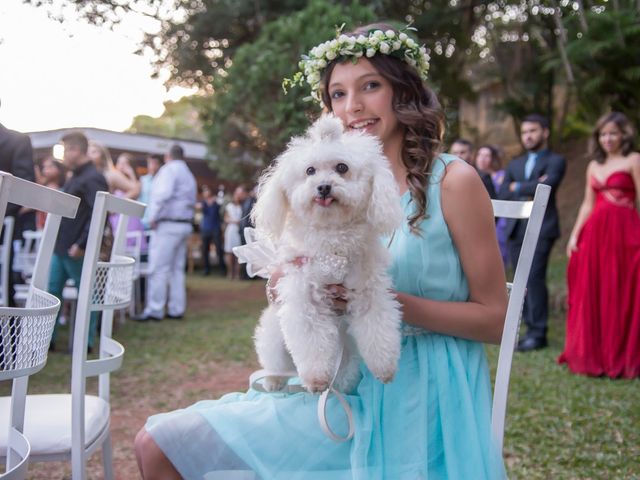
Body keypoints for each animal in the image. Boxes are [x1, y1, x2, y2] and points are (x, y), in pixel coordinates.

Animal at [251, 116, 404, 394]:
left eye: (342, 167)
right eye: (310, 171)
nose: (323, 187)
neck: (333, 241)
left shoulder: (369, 292)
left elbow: (378, 328)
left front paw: (384, 367)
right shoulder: (304, 298)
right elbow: (312, 340)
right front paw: (316, 379)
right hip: (274, 335)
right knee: (273, 360)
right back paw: (273, 380)